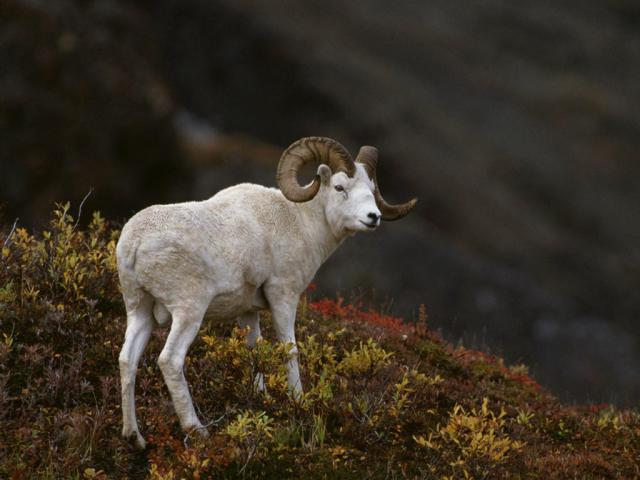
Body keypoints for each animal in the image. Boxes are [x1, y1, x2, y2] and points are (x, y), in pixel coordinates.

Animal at [116, 137, 416, 448]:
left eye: (370, 189)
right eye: (339, 187)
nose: (373, 217)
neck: (300, 222)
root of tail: (135, 244)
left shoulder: (248, 312)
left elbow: (254, 353)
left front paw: (260, 399)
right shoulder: (283, 295)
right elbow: (290, 350)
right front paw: (299, 402)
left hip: (140, 311)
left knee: (127, 360)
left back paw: (134, 437)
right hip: (189, 312)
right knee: (170, 360)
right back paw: (197, 430)